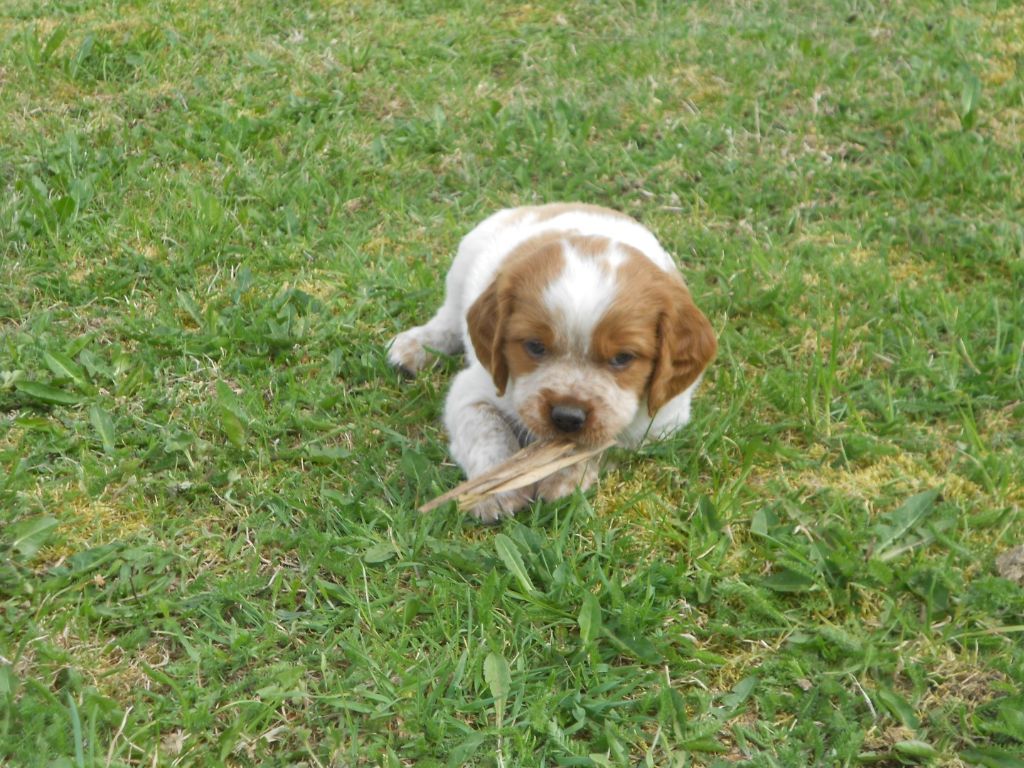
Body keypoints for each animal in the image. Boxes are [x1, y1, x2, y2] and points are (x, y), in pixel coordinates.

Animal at [389, 203, 717, 522]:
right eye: (535, 346)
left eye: (622, 357)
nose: (567, 417)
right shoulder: (472, 391)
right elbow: (488, 432)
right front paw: (495, 490)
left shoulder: (660, 423)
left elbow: (598, 444)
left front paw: (561, 476)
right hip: (463, 262)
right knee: (449, 317)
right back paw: (416, 346)